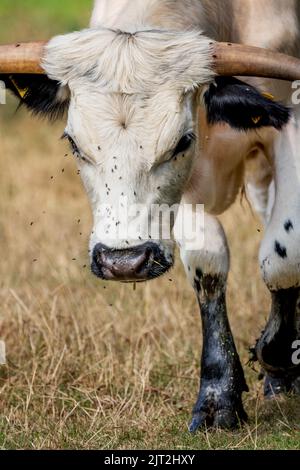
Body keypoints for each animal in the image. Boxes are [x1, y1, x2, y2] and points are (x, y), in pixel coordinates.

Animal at [1, 0, 300, 432]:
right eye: (73, 143)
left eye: (181, 141)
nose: (123, 262)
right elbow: (208, 265)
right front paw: (218, 396)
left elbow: (283, 256)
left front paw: (278, 359)